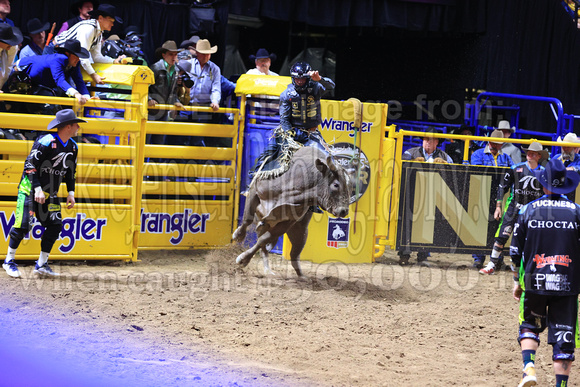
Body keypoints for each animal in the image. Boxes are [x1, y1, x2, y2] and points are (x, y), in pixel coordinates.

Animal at [232, 147, 352, 278]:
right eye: (336, 185)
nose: (343, 211)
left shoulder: (289, 221)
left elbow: (264, 239)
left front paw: (244, 259)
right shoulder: (255, 191)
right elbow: (247, 220)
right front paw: (238, 236)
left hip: (300, 233)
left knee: (292, 254)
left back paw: (298, 275)